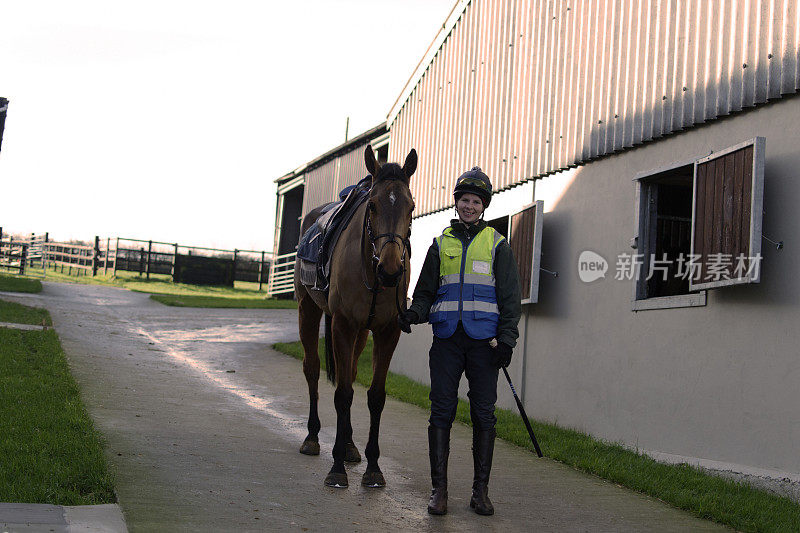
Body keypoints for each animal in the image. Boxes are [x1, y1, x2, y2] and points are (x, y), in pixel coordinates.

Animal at [294, 144, 418, 486]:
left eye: (411, 207)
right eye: (372, 206)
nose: (391, 269)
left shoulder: (387, 331)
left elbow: (374, 395)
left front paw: (373, 467)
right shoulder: (342, 326)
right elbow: (342, 394)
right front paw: (336, 467)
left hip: (362, 332)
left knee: (348, 372)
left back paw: (349, 445)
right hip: (308, 310)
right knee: (313, 369)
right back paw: (312, 437)